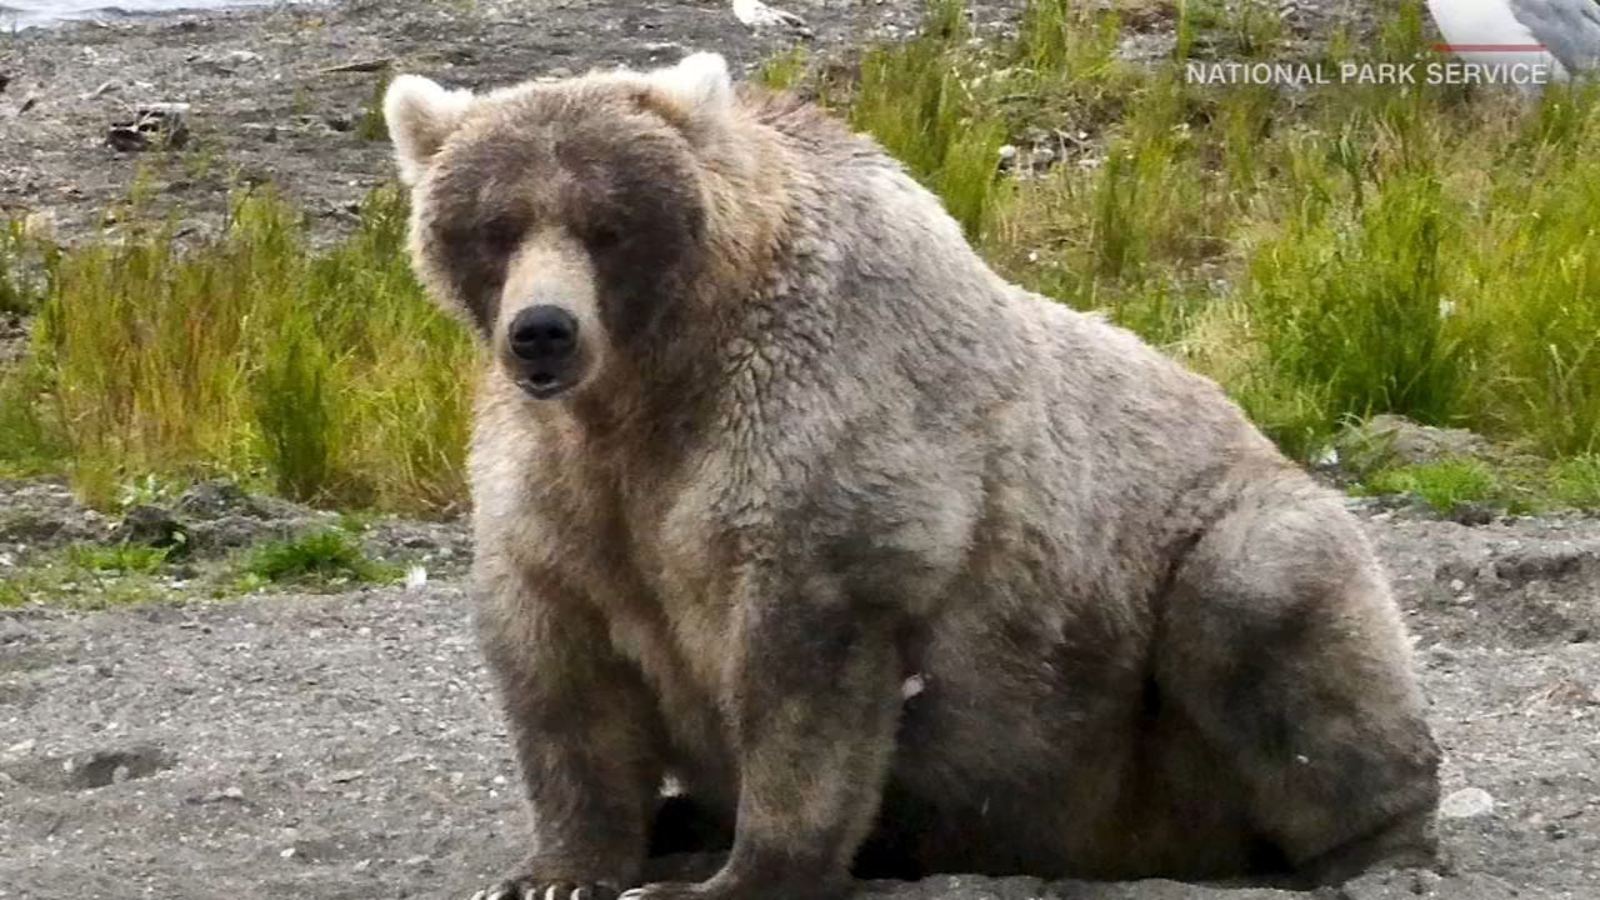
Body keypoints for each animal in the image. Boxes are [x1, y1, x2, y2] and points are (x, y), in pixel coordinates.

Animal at [382, 50, 1443, 900]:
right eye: (495, 225)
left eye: (608, 225)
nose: (543, 331)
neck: (657, 386)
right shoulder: (561, 485)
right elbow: (565, 670)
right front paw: (558, 872)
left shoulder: (819, 440)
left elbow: (804, 675)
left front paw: (734, 877)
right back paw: (683, 820)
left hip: (1187, 595)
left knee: (1265, 613)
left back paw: (1373, 850)